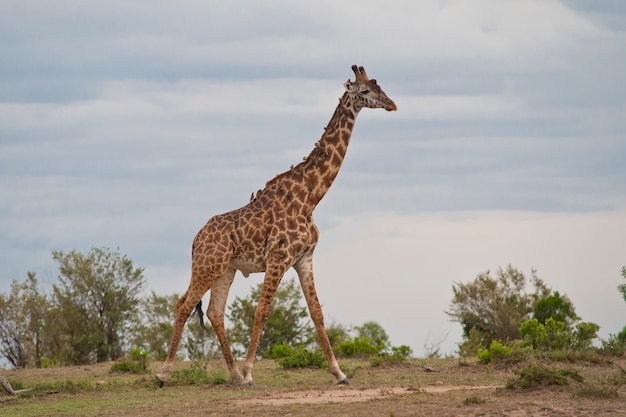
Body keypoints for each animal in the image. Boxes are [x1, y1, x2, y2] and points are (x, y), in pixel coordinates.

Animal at [156, 63, 394, 386]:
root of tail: (195, 239)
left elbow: (317, 312)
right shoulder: (279, 258)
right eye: (366, 90)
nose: (392, 105)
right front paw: (249, 372)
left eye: (380, 86)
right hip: (208, 266)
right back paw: (166, 373)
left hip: (226, 269)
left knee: (216, 312)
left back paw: (232, 374)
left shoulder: (304, 258)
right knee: (183, 305)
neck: (311, 197)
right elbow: (262, 311)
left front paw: (339, 372)